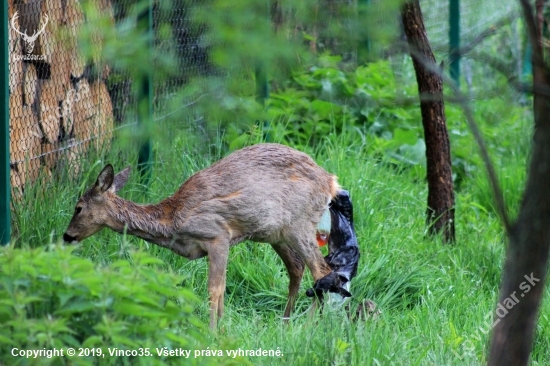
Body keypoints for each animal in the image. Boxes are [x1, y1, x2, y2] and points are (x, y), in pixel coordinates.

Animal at [64, 143, 348, 328]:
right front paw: (223, 328)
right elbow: (221, 288)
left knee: (322, 271)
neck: (173, 221)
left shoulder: (217, 234)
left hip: (299, 226)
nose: (67, 236)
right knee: (297, 268)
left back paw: (309, 325)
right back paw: (286, 322)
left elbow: (214, 288)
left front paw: (212, 332)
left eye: (78, 207)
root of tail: (331, 181)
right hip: (277, 234)